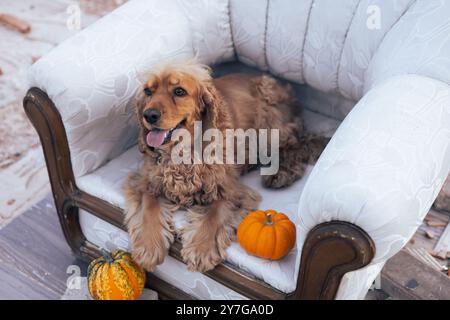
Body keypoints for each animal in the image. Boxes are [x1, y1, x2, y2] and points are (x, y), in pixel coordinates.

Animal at [123, 61, 326, 272]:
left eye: (179, 91)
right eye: (148, 91)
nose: (149, 114)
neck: (182, 152)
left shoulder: (229, 189)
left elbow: (214, 215)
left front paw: (202, 249)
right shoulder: (146, 182)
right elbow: (149, 209)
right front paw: (149, 247)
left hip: (271, 126)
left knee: (295, 146)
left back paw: (280, 174)